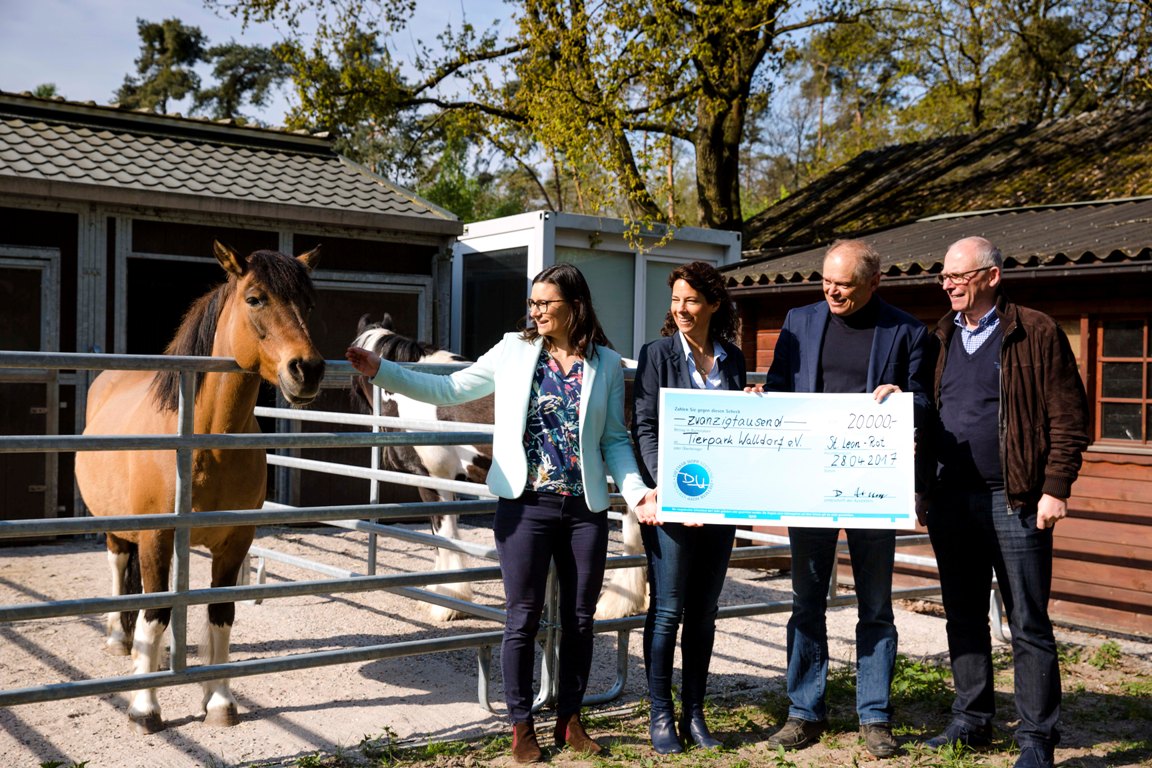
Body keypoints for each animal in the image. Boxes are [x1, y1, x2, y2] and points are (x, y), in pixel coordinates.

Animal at [74, 242, 324, 736]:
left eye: (310, 303)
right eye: (255, 299)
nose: (307, 369)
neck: (204, 441)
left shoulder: (234, 542)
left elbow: (220, 614)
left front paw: (219, 701)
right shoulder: (155, 537)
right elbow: (154, 615)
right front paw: (144, 708)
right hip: (115, 526)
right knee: (119, 568)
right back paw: (118, 639)